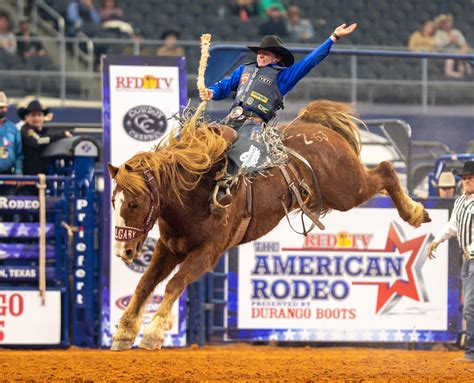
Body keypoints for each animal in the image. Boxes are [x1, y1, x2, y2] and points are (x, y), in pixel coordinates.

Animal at [106, 100, 430, 352]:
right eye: (113, 201)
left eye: (133, 204)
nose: (124, 251)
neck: (193, 190)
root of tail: (315, 126)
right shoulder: (169, 247)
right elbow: (146, 282)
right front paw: (124, 332)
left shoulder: (207, 252)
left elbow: (174, 283)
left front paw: (153, 332)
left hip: (348, 190)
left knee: (386, 170)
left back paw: (415, 212)